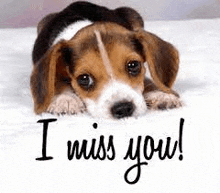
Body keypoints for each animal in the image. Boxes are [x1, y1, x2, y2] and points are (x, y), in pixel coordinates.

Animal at [31, 1, 182, 119]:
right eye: (84, 79)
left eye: (133, 65)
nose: (123, 109)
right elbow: (56, 80)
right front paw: (65, 99)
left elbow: (148, 80)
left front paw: (161, 94)